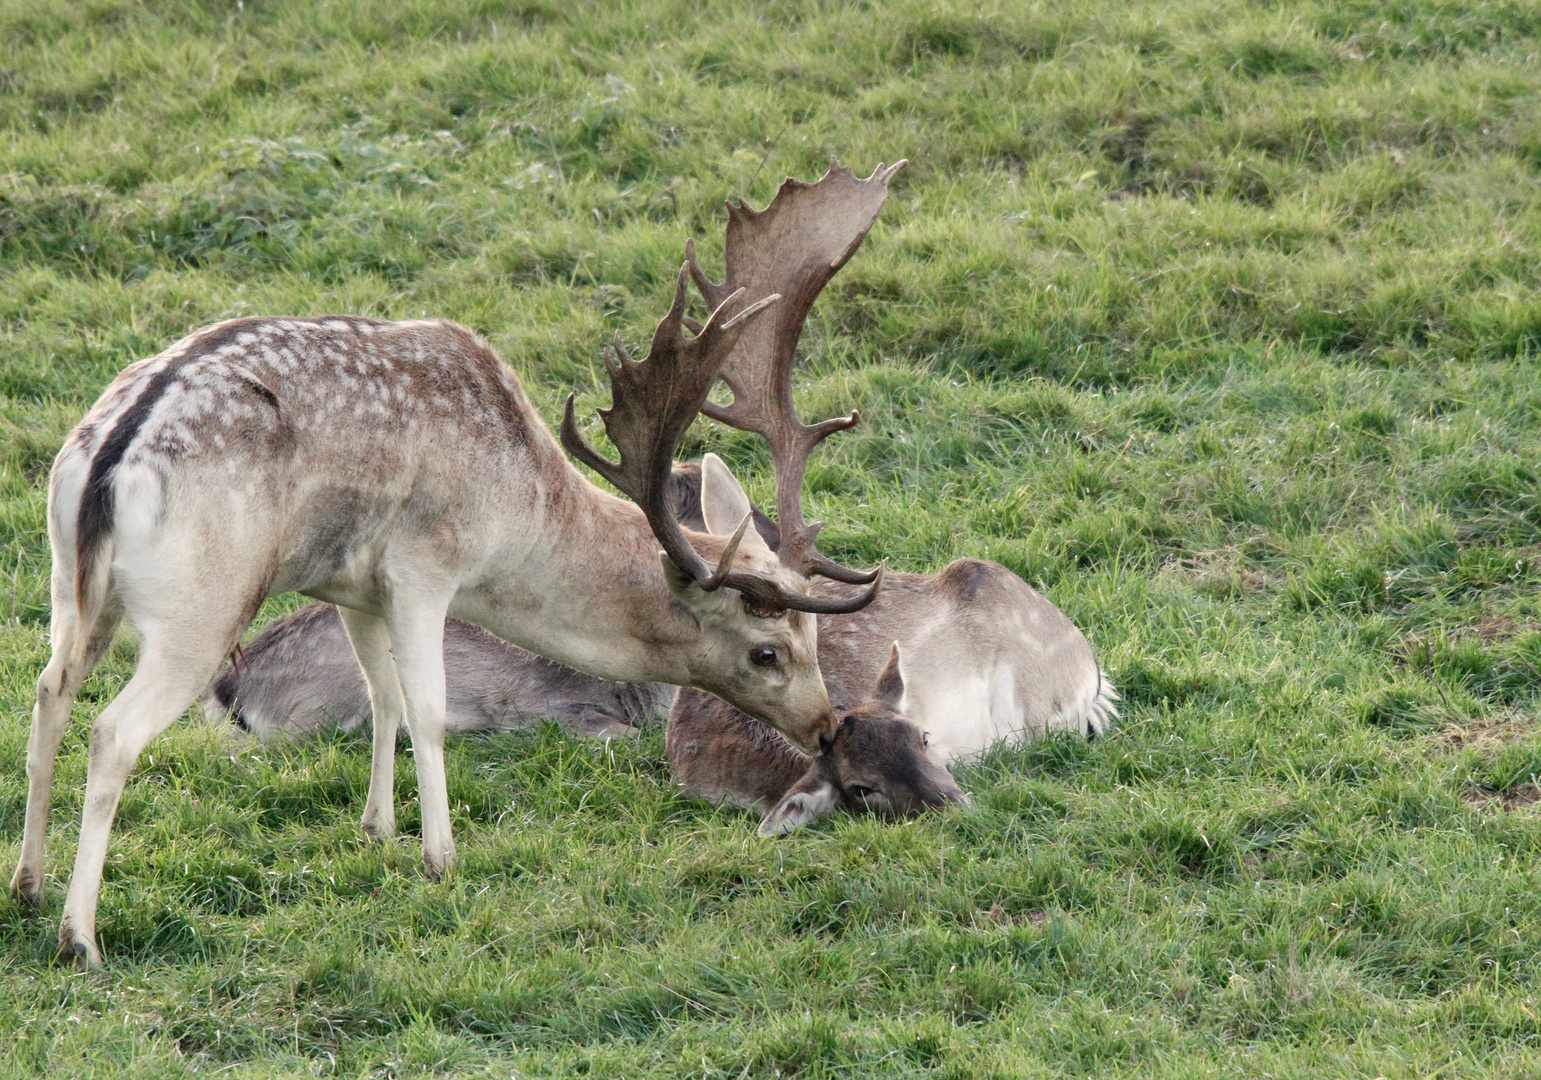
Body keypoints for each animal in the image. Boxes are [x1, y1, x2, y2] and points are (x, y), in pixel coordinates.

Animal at [18, 162, 899, 967]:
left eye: (812, 643)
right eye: (767, 651)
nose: (827, 726)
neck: (517, 512)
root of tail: (110, 458)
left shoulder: (350, 581)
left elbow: (382, 697)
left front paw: (377, 830)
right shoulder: (424, 565)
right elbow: (429, 708)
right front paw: (440, 857)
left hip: (71, 585)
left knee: (49, 689)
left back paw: (27, 883)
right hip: (201, 603)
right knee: (113, 730)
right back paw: (79, 936)